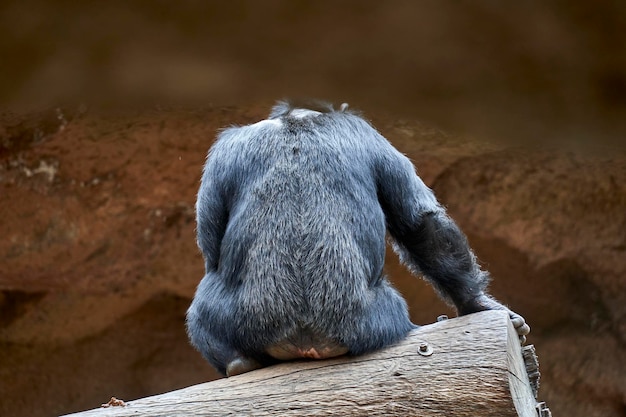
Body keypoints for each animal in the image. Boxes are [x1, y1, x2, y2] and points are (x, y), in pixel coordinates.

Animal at [185, 99, 528, 376]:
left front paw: (479, 303)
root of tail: (309, 340)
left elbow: (419, 220)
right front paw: (478, 303)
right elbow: (419, 219)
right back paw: (239, 363)